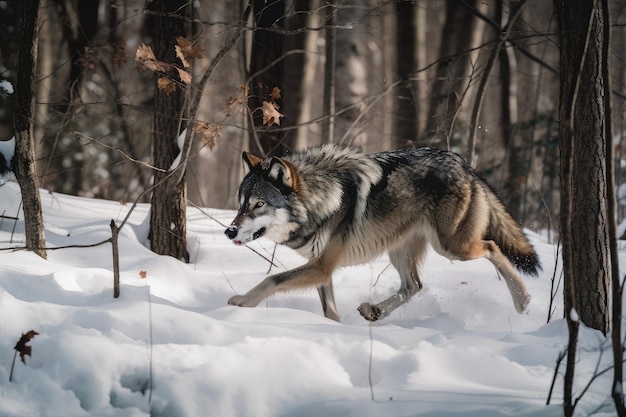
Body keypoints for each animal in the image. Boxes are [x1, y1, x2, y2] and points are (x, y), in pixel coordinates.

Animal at [223, 144, 536, 322]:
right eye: (240, 204)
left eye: (259, 204)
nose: (229, 231)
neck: (321, 200)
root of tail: (464, 164)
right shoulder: (322, 267)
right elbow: (329, 310)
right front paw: (333, 330)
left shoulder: (322, 266)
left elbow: (272, 280)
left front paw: (242, 302)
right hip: (399, 250)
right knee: (413, 286)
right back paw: (374, 312)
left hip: (451, 247)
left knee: (492, 247)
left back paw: (523, 301)